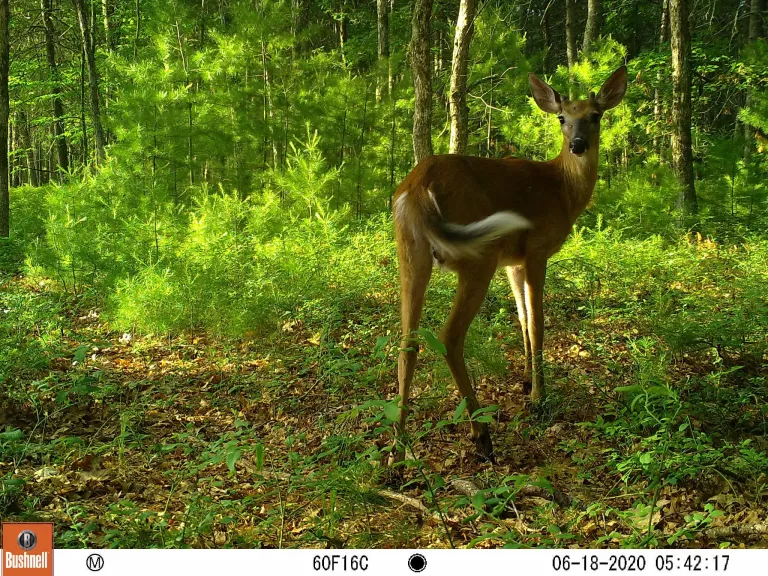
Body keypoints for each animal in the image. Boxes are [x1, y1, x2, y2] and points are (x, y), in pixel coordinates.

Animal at [391, 66, 627, 463]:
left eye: (595, 116)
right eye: (562, 118)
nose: (578, 144)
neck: (563, 190)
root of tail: (419, 187)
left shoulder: (512, 263)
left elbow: (522, 318)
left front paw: (529, 378)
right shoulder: (536, 250)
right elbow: (538, 322)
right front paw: (539, 398)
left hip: (410, 253)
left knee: (407, 341)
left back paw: (397, 450)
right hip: (478, 255)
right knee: (449, 336)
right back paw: (481, 435)